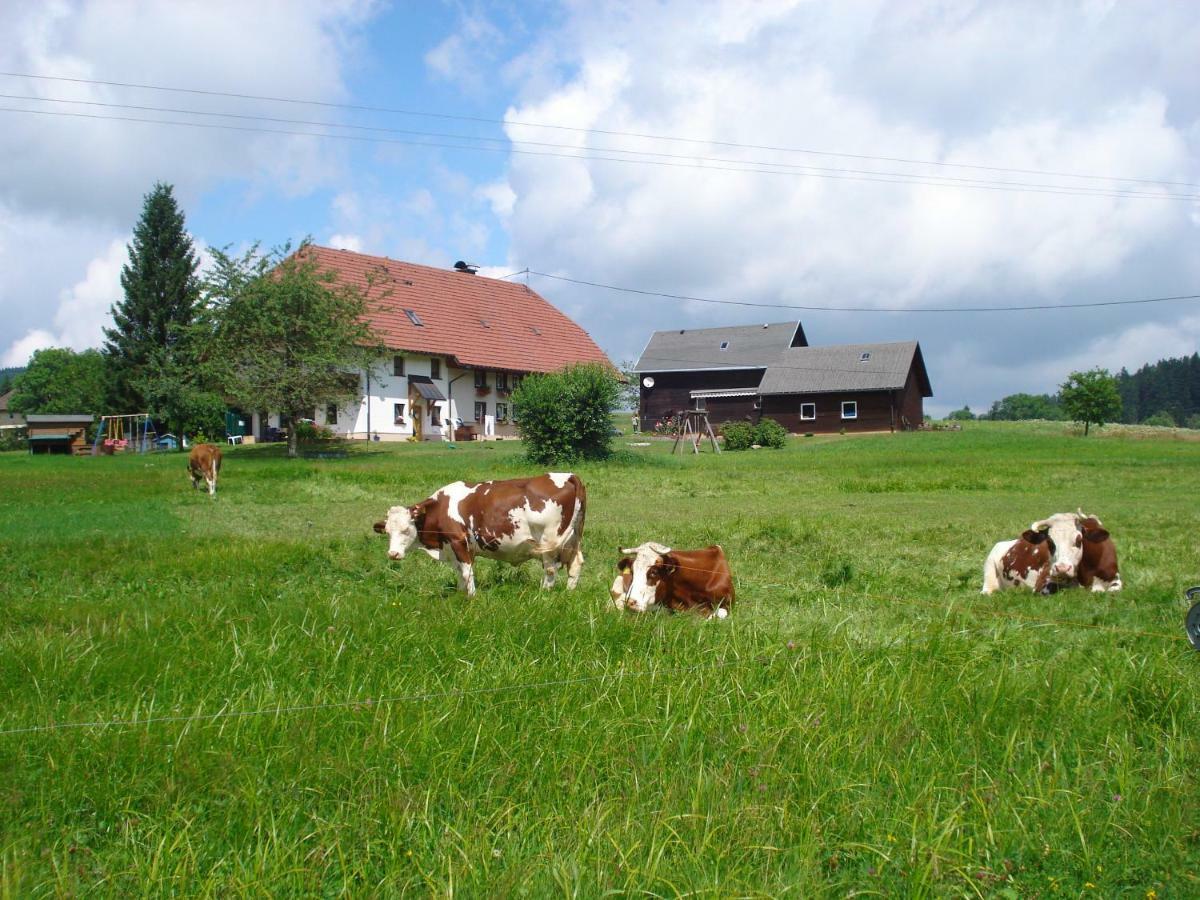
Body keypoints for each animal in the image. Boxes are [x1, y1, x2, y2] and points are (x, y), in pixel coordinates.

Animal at [369, 472, 585, 600]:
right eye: (387, 532)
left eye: (406, 530)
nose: (393, 554)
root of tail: (568, 475)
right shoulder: (456, 548)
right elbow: (459, 572)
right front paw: (460, 593)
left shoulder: (458, 541)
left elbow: (467, 572)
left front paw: (471, 597)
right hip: (573, 539)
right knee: (575, 564)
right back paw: (569, 592)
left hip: (548, 542)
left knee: (550, 569)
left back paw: (544, 594)